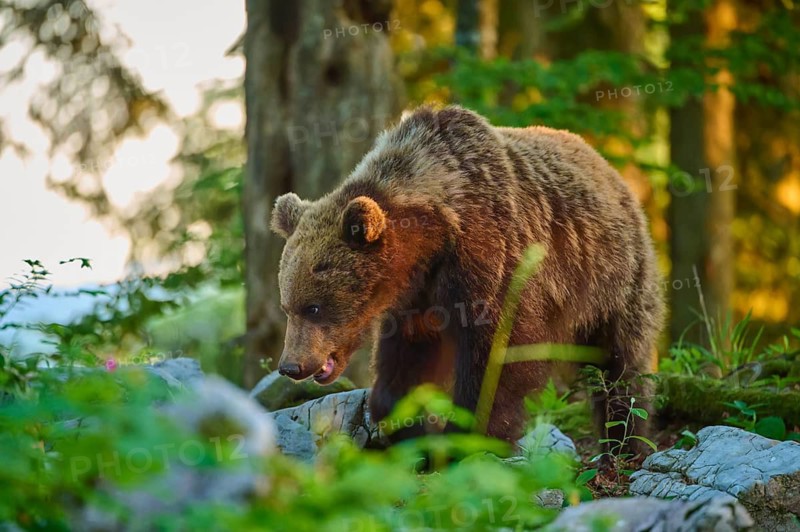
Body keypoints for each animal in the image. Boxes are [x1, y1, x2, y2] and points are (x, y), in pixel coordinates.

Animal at [270, 105, 664, 449]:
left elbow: (499, 354)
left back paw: (624, 439)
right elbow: (407, 358)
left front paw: (472, 435)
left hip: (611, 275)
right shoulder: (417, 297)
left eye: (314, 307)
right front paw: (404, 425)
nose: (290, 365)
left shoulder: (491, 257)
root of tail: (609, 169)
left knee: (621, 361)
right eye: (287, 306)